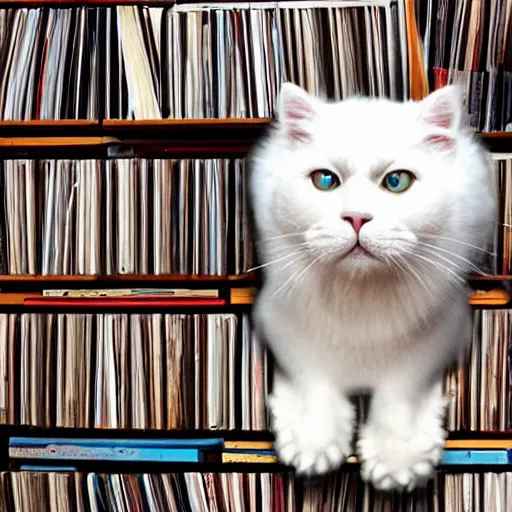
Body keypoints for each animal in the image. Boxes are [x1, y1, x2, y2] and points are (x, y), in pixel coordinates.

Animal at [250, 84, 498, 492]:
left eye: (397, 182)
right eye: (325, 181)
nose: (356, 218)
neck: (360, 296)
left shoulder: (439, 336)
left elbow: (399, 394)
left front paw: (396, 463)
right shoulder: (283, 326)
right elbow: (315, 381)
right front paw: (314, 447)